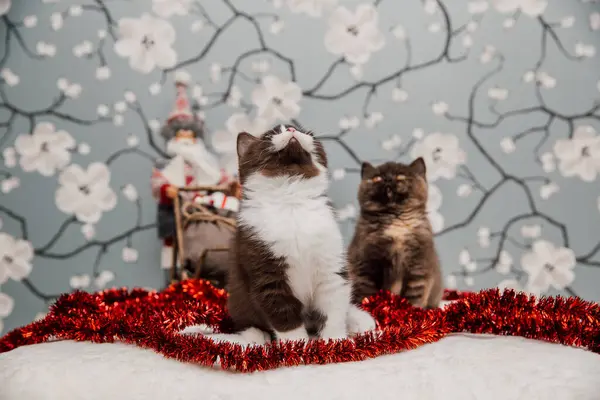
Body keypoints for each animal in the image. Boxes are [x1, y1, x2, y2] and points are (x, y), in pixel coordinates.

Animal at [350, 158, 442, 308]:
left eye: (400, 176)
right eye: (377, 178)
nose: (388, 179)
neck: (396, 223)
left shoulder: (419, 265)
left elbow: (414, 296)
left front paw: (410, 312)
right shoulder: (366, 262)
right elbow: (367, 293)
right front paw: (369, 311)